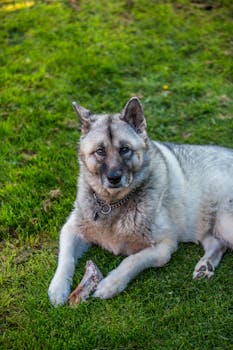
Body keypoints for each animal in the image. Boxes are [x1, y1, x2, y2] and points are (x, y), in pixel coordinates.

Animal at [48, 96, 233, 306]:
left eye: (125, 149)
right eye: (100, 151)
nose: (114, 178)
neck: (112, 203)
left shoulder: (163, 248)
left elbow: (131, 261)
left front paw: (110, 284)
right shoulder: (71, 229)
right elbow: (65, 259)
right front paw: (58, 288)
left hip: (225, 222)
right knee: (217, 244)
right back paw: (205, 265)